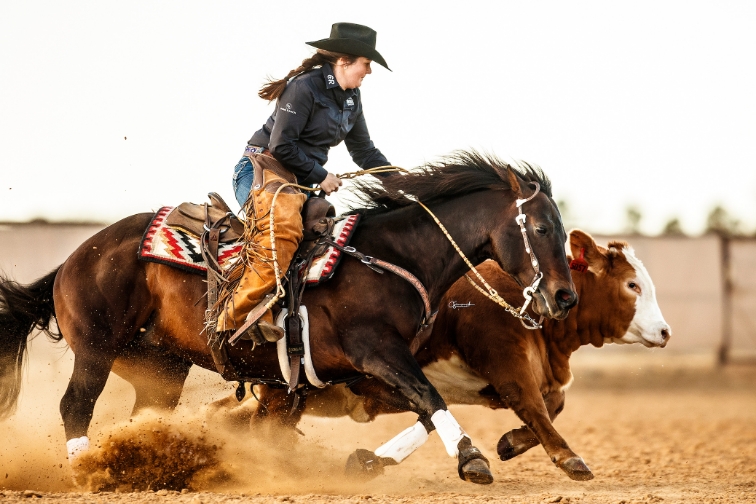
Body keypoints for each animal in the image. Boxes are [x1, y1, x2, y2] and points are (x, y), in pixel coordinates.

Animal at [1, 151, 580, 484]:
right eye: (542, 228)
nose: (565, 297)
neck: (390, 257)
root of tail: (74, 259)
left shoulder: (356, 373)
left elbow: (425, 407)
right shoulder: (378, 354)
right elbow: (431, 398)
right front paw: (472, 459)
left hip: (159, 368)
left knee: (144, 415)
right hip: (96, 350)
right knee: (75, 405)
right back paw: (87, 472)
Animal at [216, 230, 672, 482]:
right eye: (632, 285)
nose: (665, 332)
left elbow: (546, 404)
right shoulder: (504, 358)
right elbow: (534, 405)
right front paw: (571, 459)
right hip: (284, 394)